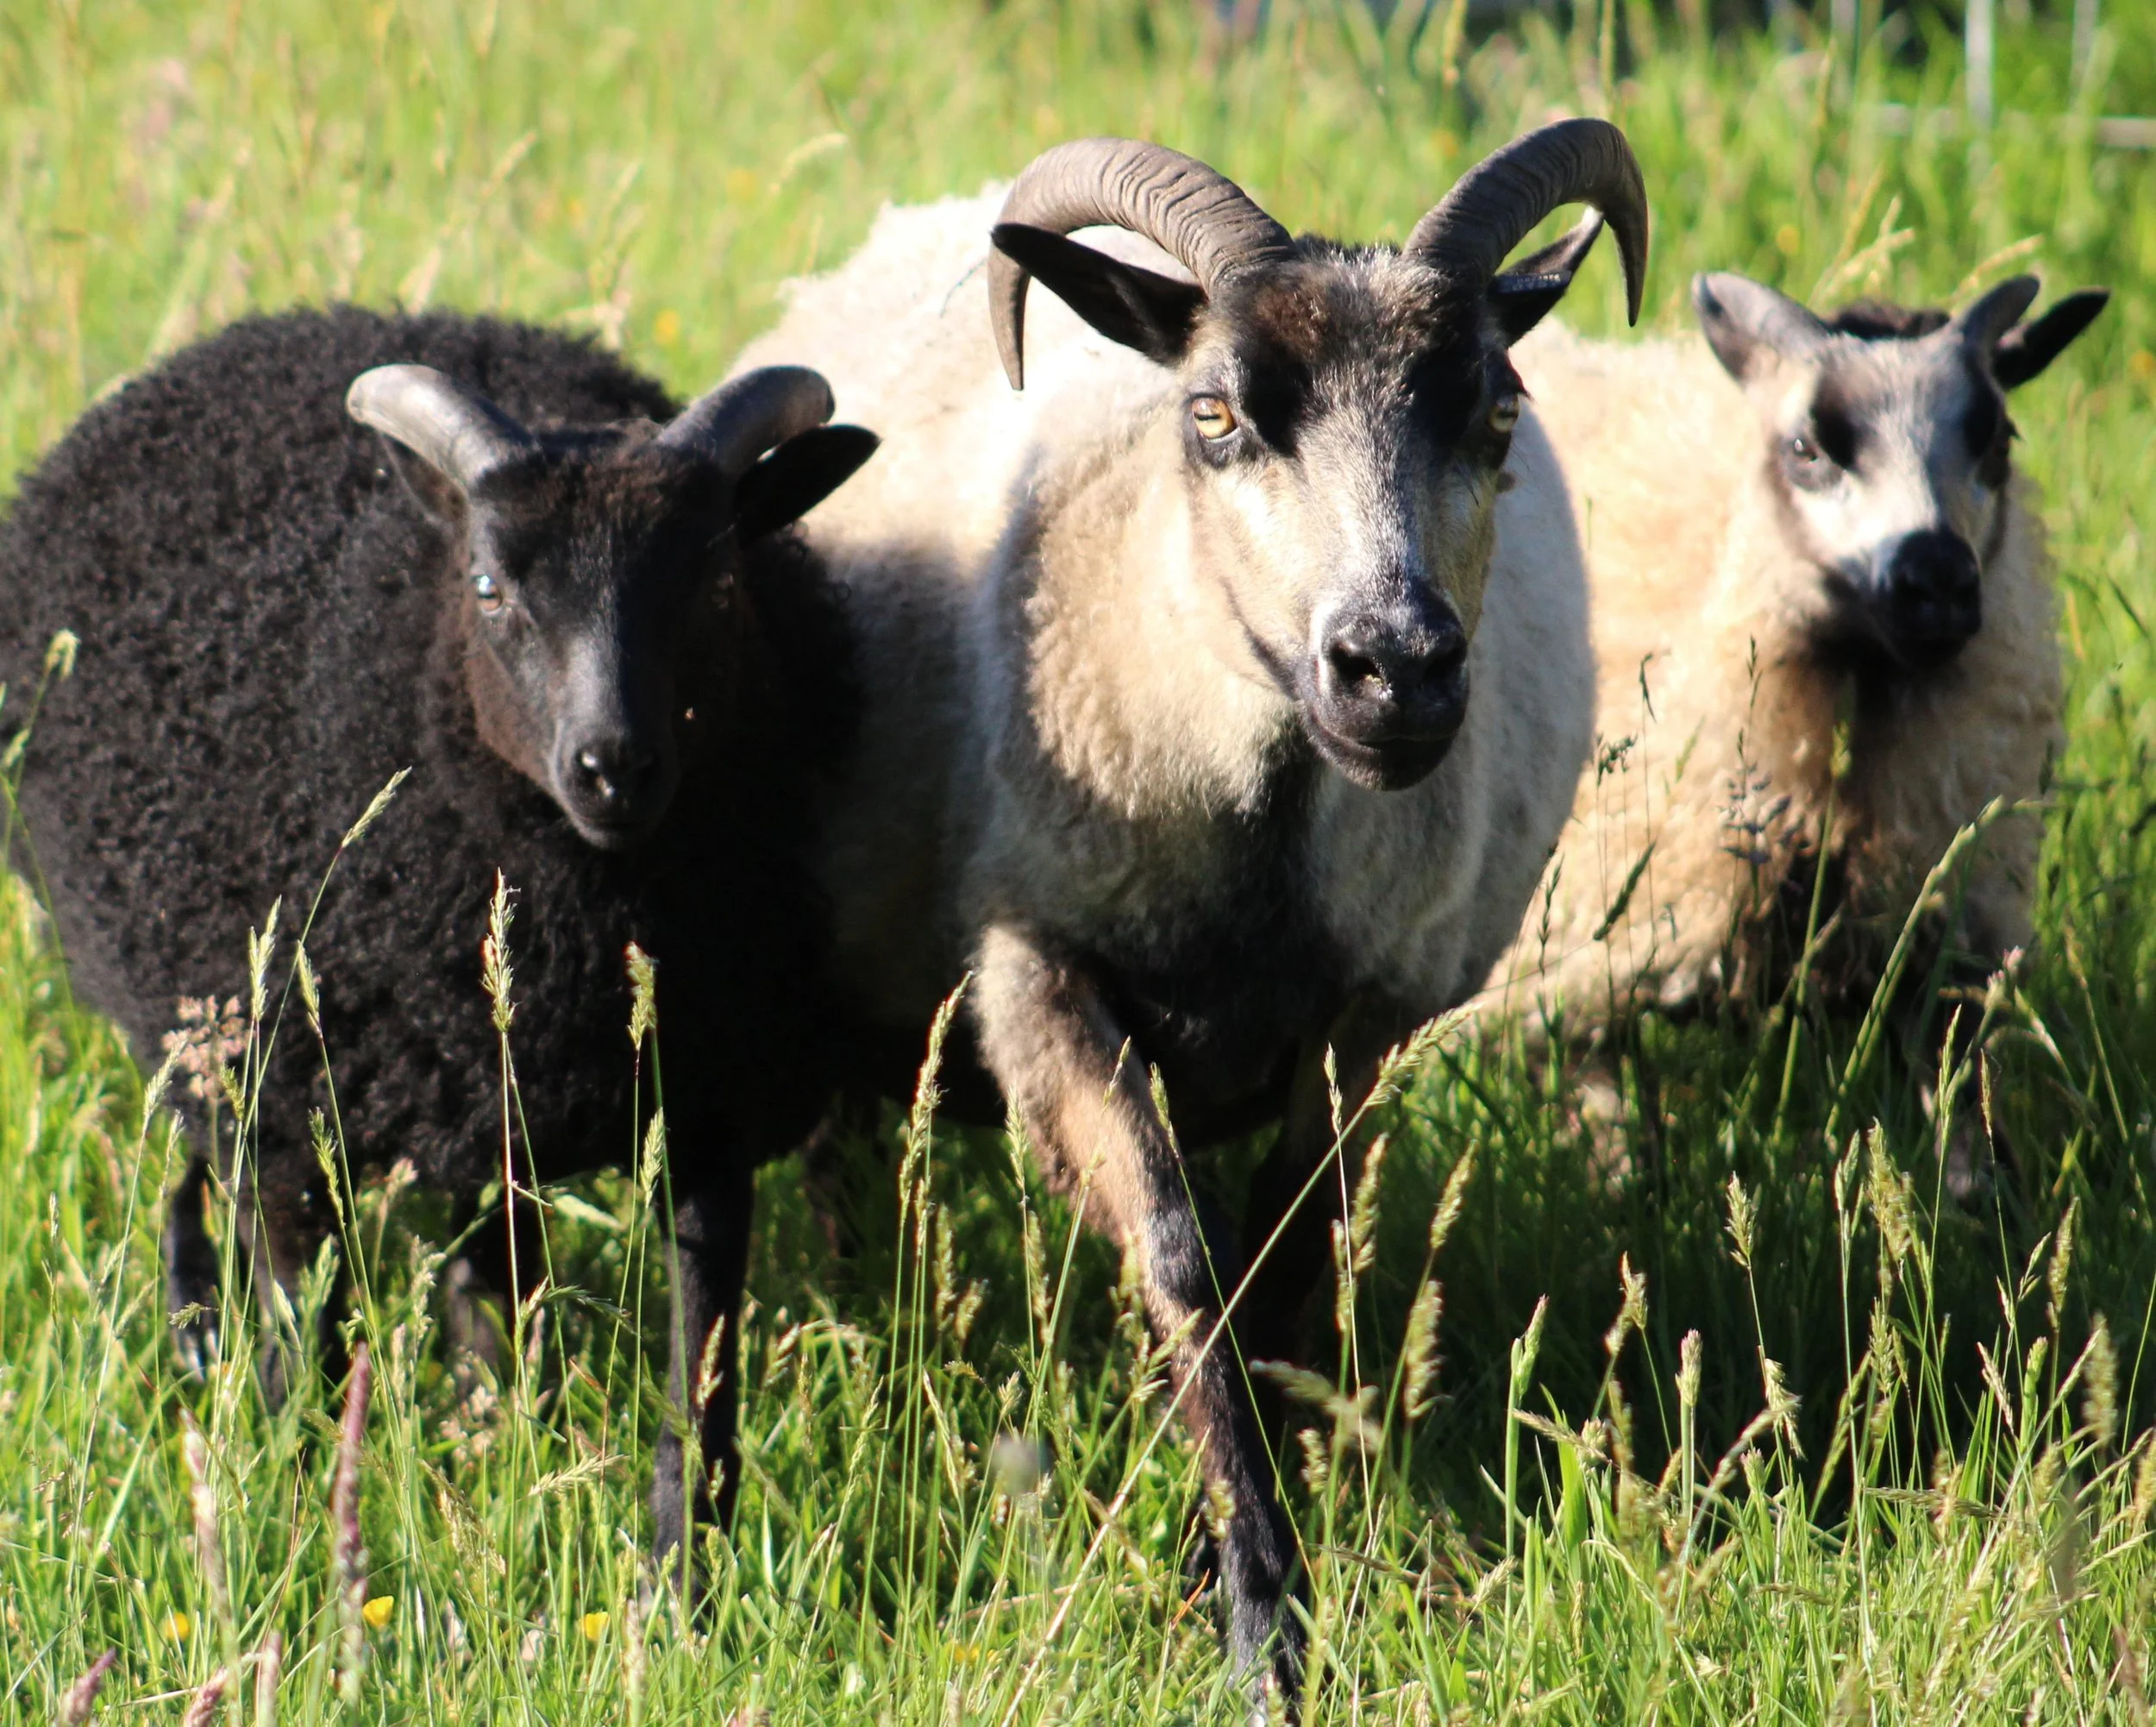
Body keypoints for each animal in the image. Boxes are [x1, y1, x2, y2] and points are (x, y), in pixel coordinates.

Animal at [0, 305, 877, 1571]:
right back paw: (207, 1338)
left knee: (485, 1269)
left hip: (457, 1098)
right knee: (213, 1192)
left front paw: (676, 1581)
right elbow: (302, 1364)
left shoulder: (706, 1097)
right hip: (220, 1034)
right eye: (487, 585)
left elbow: (699, 1399)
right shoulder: (286, 1118)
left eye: (718, 578)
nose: (615, 767)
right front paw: (300, 1535)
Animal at [737, 121, 1649, 1698]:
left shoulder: (1367, 1015)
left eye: (1498, 413)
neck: (1257, 848)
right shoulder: (1038, 969)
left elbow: (1286, 1272)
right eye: (1216, 414)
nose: (1395, 668)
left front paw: (1233, 1564)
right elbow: (1179, 1258)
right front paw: (1257, 1622)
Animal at [1477, 273, 2107, 1152]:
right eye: (1808, 448)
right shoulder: (1576, 966)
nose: (1938, 581)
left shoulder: (1937, 962)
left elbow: (1972, 1151)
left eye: (1998, 440)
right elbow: (1616, 1142)